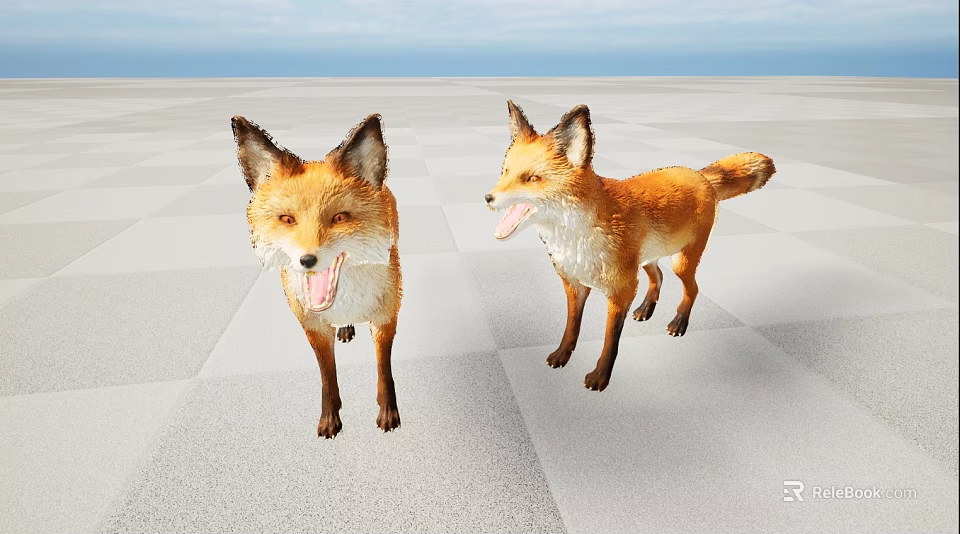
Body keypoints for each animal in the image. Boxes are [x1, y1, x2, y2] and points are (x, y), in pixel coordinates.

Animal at [231, 114, 402, 439]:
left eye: (339, 218)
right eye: (288, 219)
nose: (307, 260)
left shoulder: (386, 317)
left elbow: (384, 373)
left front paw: (388, 413)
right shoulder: (312, 327)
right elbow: (327, 378)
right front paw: (329, 418)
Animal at [485, 100, 775, 392]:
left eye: (532, 179)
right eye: (505, 172)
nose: (488, 198)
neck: (575, 240)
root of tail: (699, 174)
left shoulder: (621, 290)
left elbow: (609, 340)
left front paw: (600, 376)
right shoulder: (575, 285)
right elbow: (571, 328)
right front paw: (562, 354)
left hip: (680, 262)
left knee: (692, 289)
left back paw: (679, 322)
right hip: (646, 260)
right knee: (658, 277)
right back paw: (646, 308)